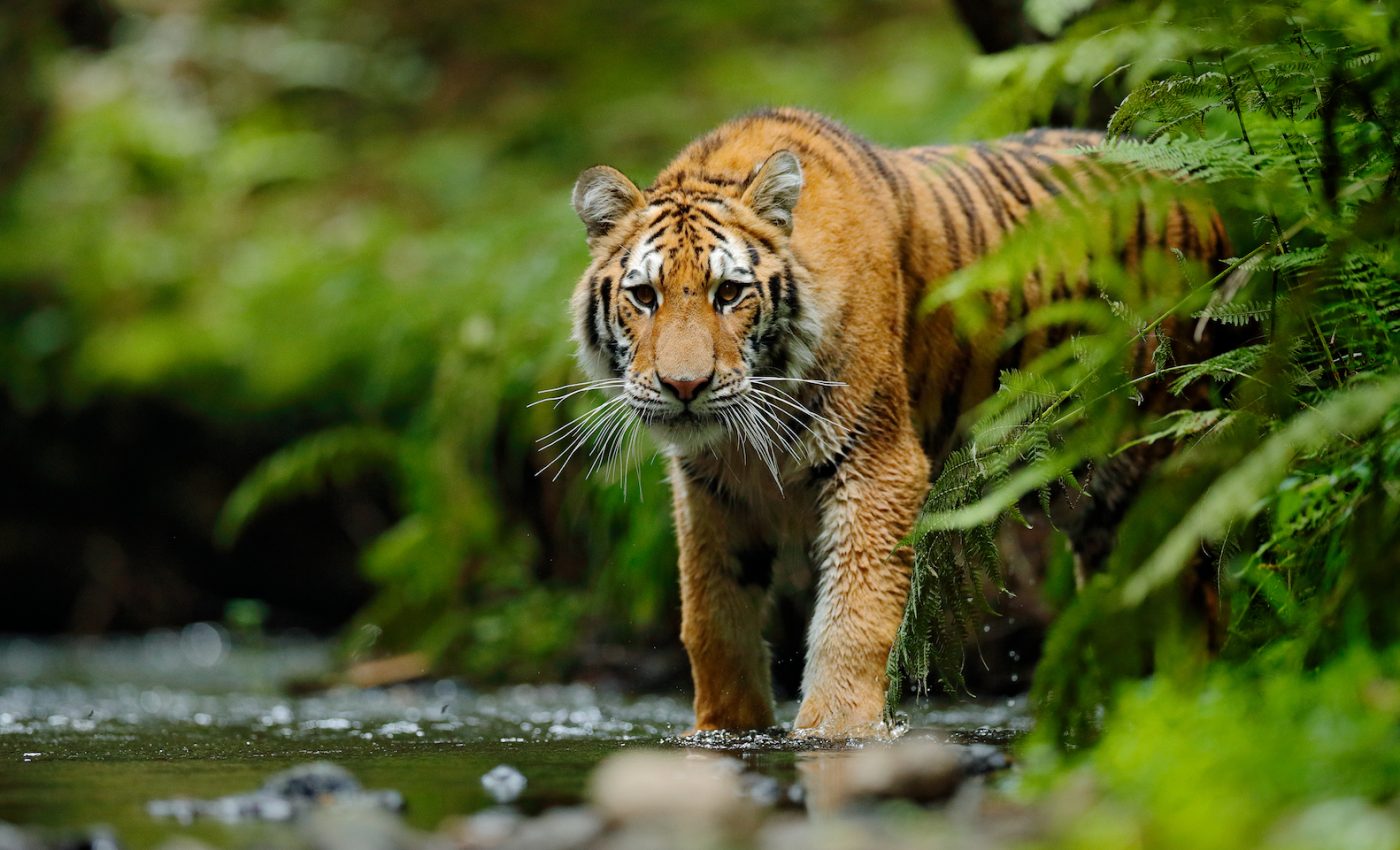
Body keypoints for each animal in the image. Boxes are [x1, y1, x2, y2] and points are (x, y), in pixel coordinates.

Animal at [565, 107, 1228, 738]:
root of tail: (1200, 190)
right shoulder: (712, 493)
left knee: (1190, 603)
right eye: (645, 296)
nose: (684, 387)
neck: (745, 439)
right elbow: (712, 621)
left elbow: (852, 618)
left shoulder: (878, 463)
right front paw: (724, 730)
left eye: (729, 293)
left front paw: (835, 731)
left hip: (1152, 476)